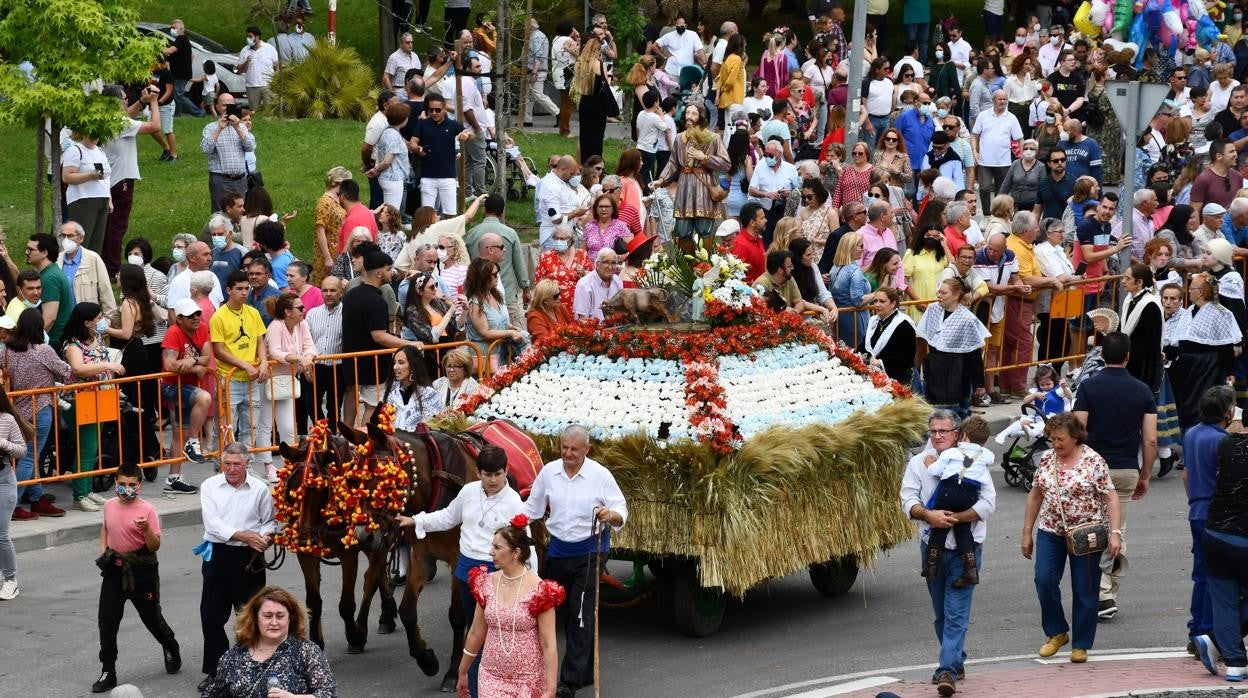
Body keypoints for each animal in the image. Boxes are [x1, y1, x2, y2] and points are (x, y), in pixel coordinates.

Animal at [275, 434, 396, 659]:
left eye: (321, 489)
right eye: (292, 488)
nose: (304, 539)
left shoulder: (349, 555)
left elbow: (346, 604)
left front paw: (355, 637)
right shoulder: (306, 555)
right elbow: (314, 602)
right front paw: (316, 641)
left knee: (372, 577)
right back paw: (388, 612)